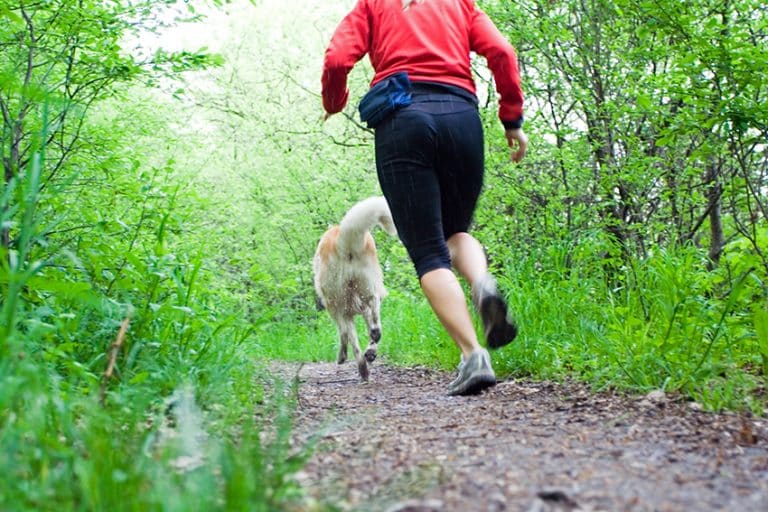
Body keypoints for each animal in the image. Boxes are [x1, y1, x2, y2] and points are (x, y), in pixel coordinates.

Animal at [312, 196, 396, 380]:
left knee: (352, 339)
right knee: (375, 317)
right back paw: (370, 353)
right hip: (369, 287)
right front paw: (371, 350)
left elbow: (343, 334)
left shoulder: (336, 310)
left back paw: (361, 368)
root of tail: (344, 242)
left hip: (338, 302)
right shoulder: (361, 308)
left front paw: (342, 356)